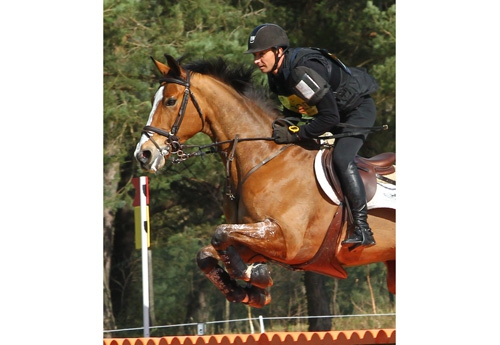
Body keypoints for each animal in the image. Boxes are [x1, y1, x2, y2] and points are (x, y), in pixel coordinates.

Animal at [135, 55, 396, 308]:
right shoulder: (253, 239)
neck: (262, 158)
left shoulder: (287, 240)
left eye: (170, 101)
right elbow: (207, 253)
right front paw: (249, 289)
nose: (143, 154)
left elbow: (220, 233)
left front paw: (254, 276)